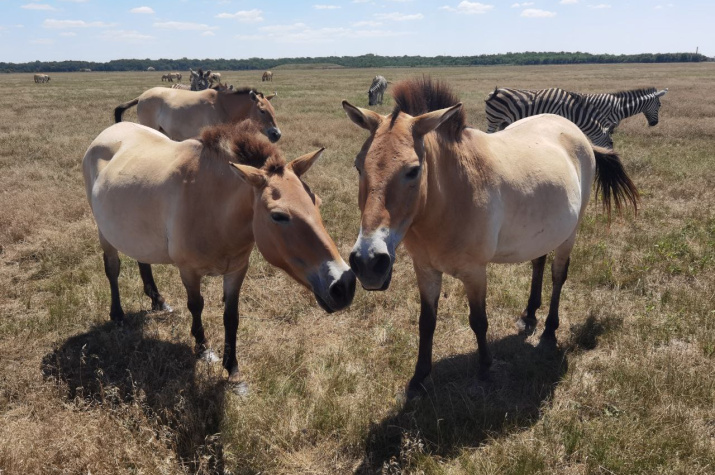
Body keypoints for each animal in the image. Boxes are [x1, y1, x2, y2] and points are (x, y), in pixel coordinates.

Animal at [82, 120, 356, 386]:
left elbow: (231, 317)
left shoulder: (236, 271)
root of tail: (109, 131)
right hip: (105, 234)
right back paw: (117, 315)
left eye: (317, 202)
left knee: (143, 260)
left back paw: (158, 300)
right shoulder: (189, 271)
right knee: (112, 269)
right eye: (278, 216)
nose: (344, 285)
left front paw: (232, 368)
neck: (211, 205)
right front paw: (203, 349)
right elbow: (196, 306)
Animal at [344, 78, 640, 398]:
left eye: (413, 170)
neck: (449, 196)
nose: (368, 262)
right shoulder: (425, 270)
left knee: (558, 275)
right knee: (538, 263)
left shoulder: (475, 273)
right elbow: (426, 322)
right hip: (543, 232)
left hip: (568, 235)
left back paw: (549, 330)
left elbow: (478, 321)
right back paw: (529, 314)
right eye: (358, 166)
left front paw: (485, 368)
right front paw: (418, 378)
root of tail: (576, 131)